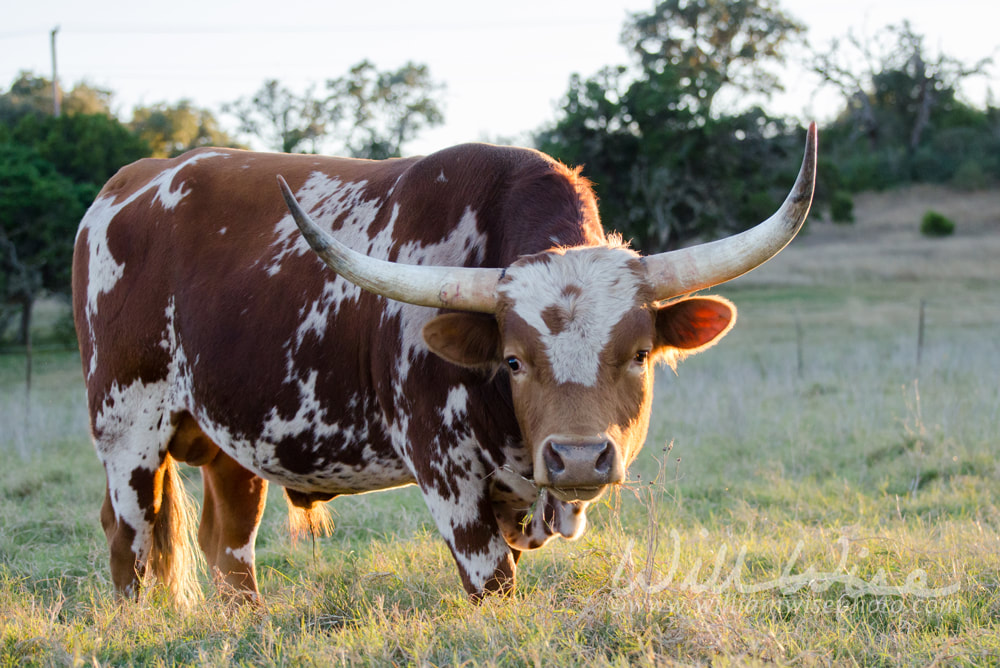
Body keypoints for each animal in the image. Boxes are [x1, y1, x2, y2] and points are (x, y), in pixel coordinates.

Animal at [74, 122, 816, 604]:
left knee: (226, 543)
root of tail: (124, 186)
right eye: (513, 361)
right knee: (131, 540)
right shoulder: (447, 474)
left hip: (235, 439)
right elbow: (495, 586)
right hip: (127, 427)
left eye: (638, 355)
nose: (577, 459)